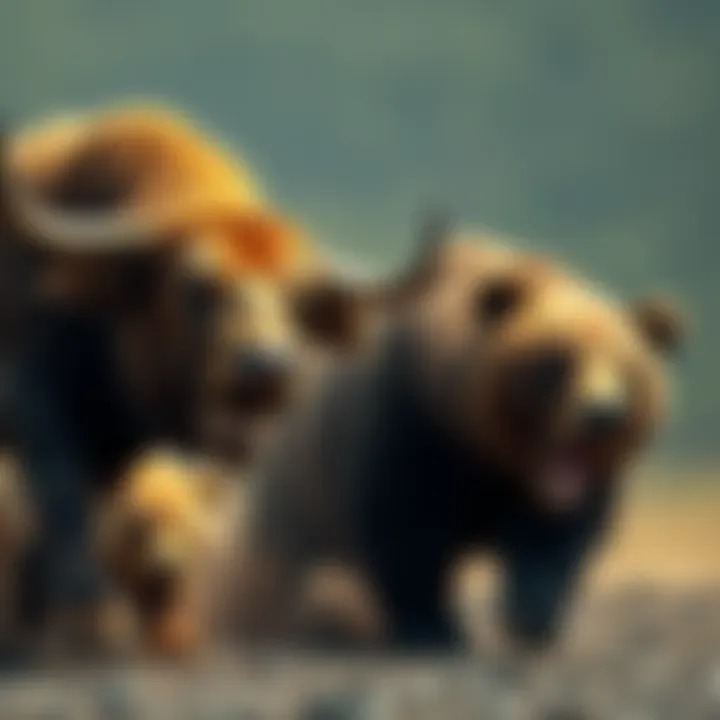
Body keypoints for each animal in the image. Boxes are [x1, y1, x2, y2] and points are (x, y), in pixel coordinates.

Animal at [232, 217, 685, 653]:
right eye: (557, 361)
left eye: (626, 367)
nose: (602, 415)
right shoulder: (406, 424)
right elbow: (406, 528)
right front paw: (432, 629)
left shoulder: (559, 483)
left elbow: (556, 535)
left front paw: (532, 618)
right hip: (297, 485)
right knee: (281, 560)